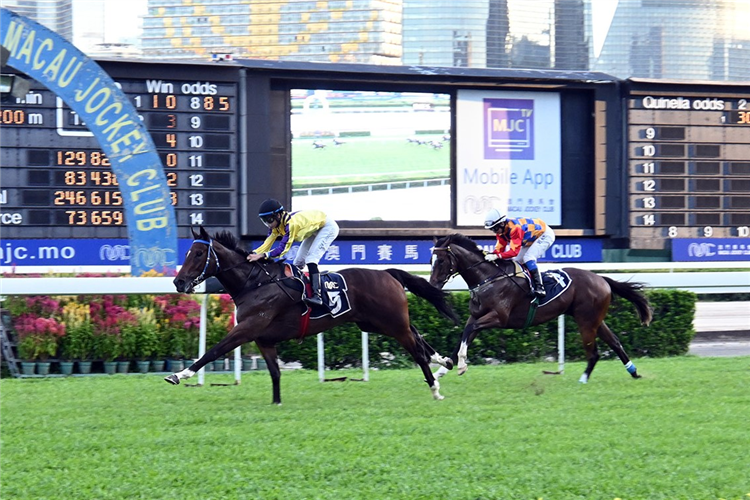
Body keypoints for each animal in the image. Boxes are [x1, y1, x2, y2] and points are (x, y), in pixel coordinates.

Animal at [168, 229, 462, 404]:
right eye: (188, 252)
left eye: (198, 253)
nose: (178, 282)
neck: (255, 283)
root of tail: (388, 273)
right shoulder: (264, 339)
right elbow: (275, 372)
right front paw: (277, 402)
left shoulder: (247, 329)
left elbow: (213, 351)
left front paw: (179, 375)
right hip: (375, 322)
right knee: (417, 334)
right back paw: (444, 361)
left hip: (391, 323)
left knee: (417, 351)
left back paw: (435, 388)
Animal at [432, 233, 656, 382]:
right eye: (432, 259)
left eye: (441, 260)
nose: (433, 286)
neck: (488, 278)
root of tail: (601, 278)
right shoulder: (476, 316)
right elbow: (464, 335)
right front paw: (443, 368)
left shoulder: (498, 317)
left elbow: (468, 331)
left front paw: (461, 364)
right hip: (595, 319)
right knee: (615, 343)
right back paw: (634, 372)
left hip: (586, 320)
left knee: (594, 352)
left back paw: (583, 379)